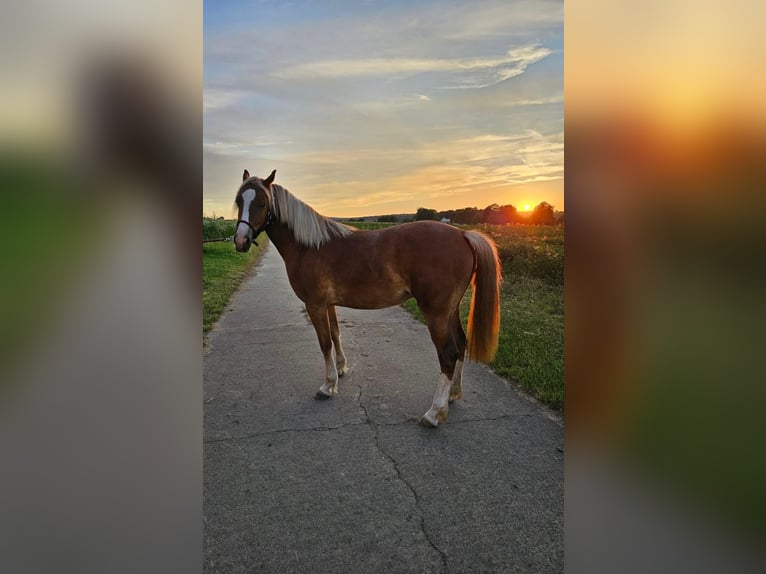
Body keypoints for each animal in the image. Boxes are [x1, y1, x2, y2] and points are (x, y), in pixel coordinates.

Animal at [231, 170, 500, 428]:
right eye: (239, 201)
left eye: (262, 203)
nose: (241, 241)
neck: (309, 246)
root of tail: (464, 234)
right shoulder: (329, 304)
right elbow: (336, 334)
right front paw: (341, 368)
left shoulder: (315, 305)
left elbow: (324, 342)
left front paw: (328, 386)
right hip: (450, 310)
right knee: (461, 344)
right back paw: (453, 394)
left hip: (436, 313)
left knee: (448, 353)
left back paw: (434, 413)